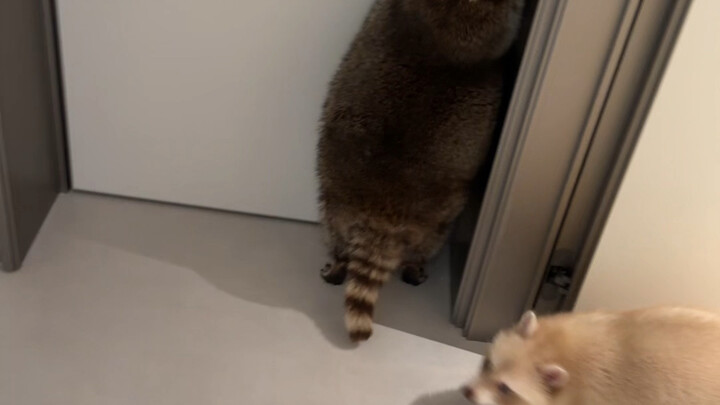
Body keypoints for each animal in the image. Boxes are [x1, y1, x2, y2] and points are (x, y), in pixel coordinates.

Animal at [316, 0, 525, 342]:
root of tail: (380, 215)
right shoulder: (464, 20)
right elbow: (492, 35)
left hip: (333, 199)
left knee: (336, 234)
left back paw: (338, 262)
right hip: (438, 217)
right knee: (429, 242)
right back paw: (415, 266)